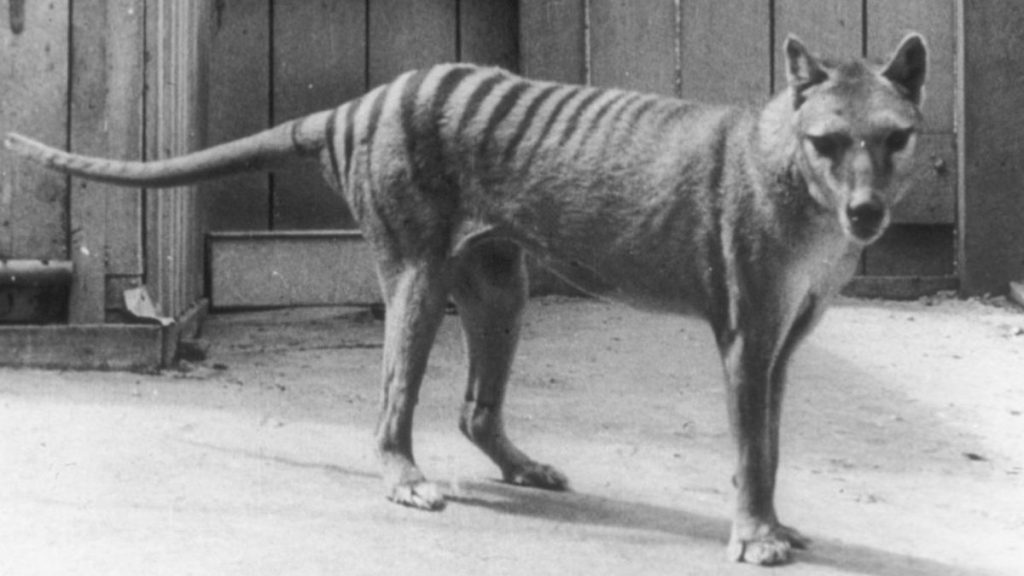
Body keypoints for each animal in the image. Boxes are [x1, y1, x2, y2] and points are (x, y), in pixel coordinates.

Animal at [4, 32, 927, 566]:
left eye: (896, 138)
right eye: (828, 142)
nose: (867, 213)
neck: (789, 172)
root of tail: (362, 103)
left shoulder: (780, 344)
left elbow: (769, 446)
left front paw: (772, 524)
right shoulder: (743, 337)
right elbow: (752, 450)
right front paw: (752, 535)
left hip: (500, 284)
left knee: (476, 409)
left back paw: (519, 465)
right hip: (416, 275)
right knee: (392, 404)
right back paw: (404, 478)